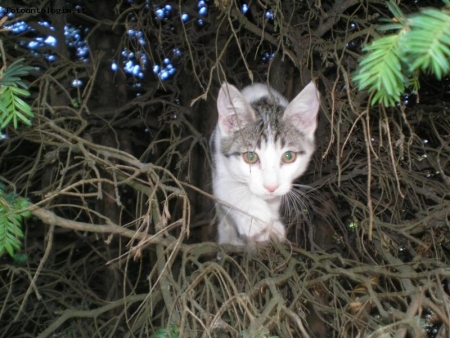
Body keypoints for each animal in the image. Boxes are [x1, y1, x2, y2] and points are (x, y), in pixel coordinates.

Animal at [211, 82, 320, 246]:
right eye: (250, 156)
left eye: (288, 156)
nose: (271, 187)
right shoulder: (218, 153)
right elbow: (227, 188)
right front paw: (255, 218)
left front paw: (272, 225)